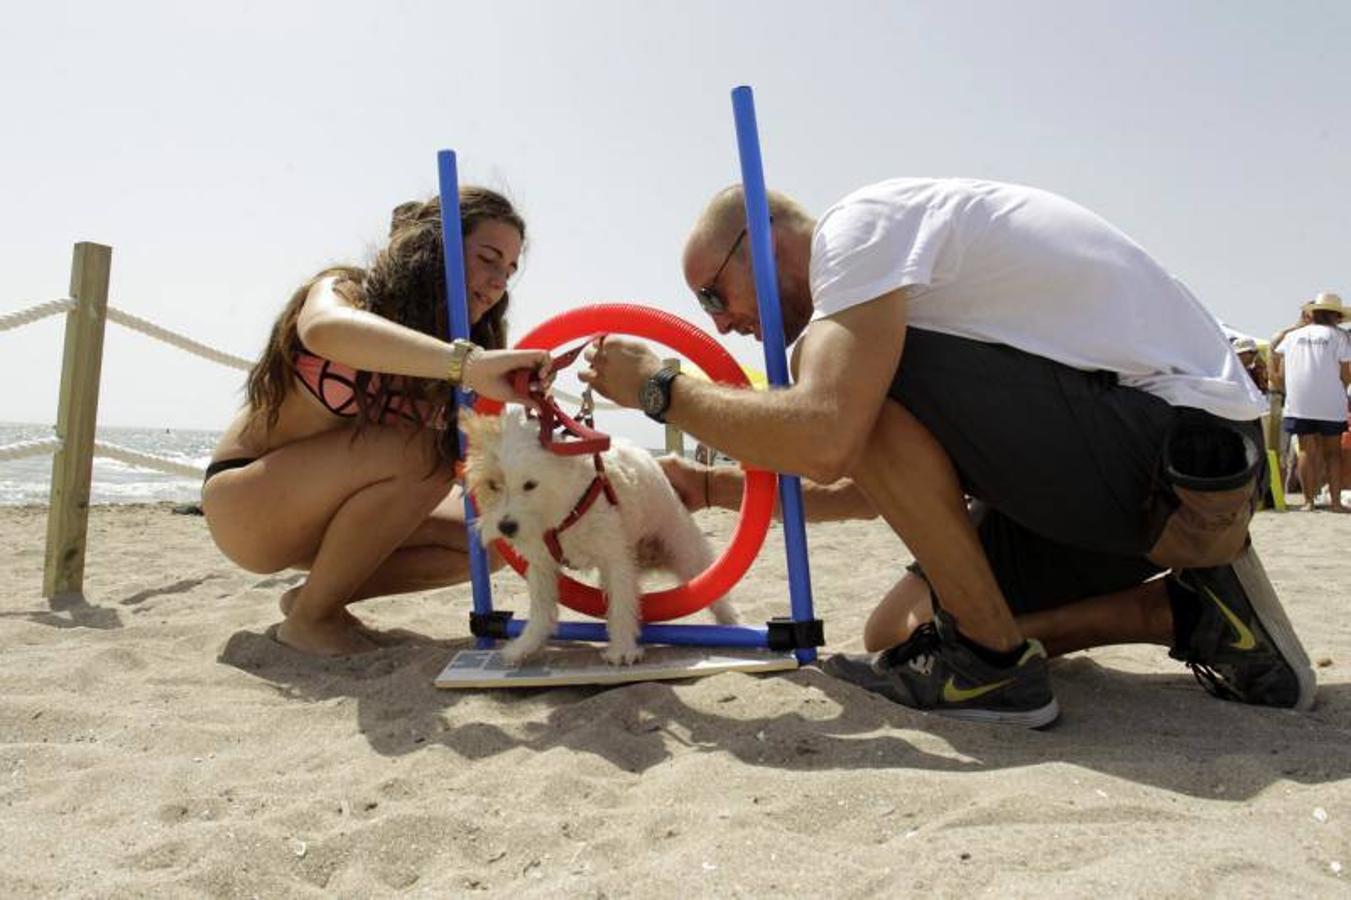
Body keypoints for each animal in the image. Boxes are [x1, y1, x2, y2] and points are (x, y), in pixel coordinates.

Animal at [464, 405, 740, 659]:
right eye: (492, 484)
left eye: (530, 484)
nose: (506, 527)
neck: (564, 509)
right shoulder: (542, 565)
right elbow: (541, 608)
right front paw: (525, 645)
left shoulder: (615, 560)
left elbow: (621, 604)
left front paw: (623, 649)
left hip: (685, 550)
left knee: (713, 590)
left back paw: (731, 625)